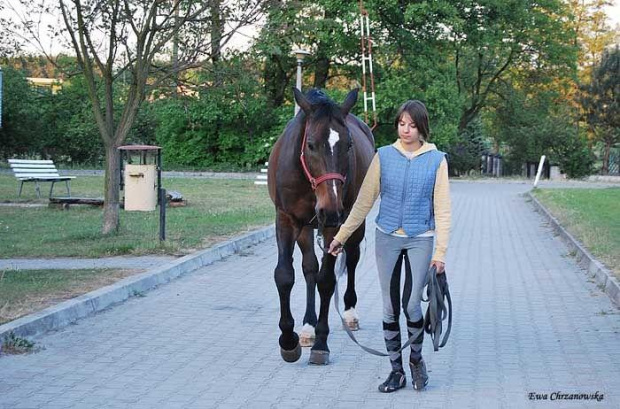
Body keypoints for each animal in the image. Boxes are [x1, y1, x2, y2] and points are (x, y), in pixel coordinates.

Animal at [266, 88, 372, 364]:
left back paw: (349, 313)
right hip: (307, 227)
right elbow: (285, 275)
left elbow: (326, 280)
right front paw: (289, 339)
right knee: (309, 267)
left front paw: (321, 343)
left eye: (348, 145)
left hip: (354, 222)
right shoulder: (286, 219)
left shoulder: (334, 225)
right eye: (311, 144)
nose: (330, 209)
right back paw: (307, 326)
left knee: (352, 259)